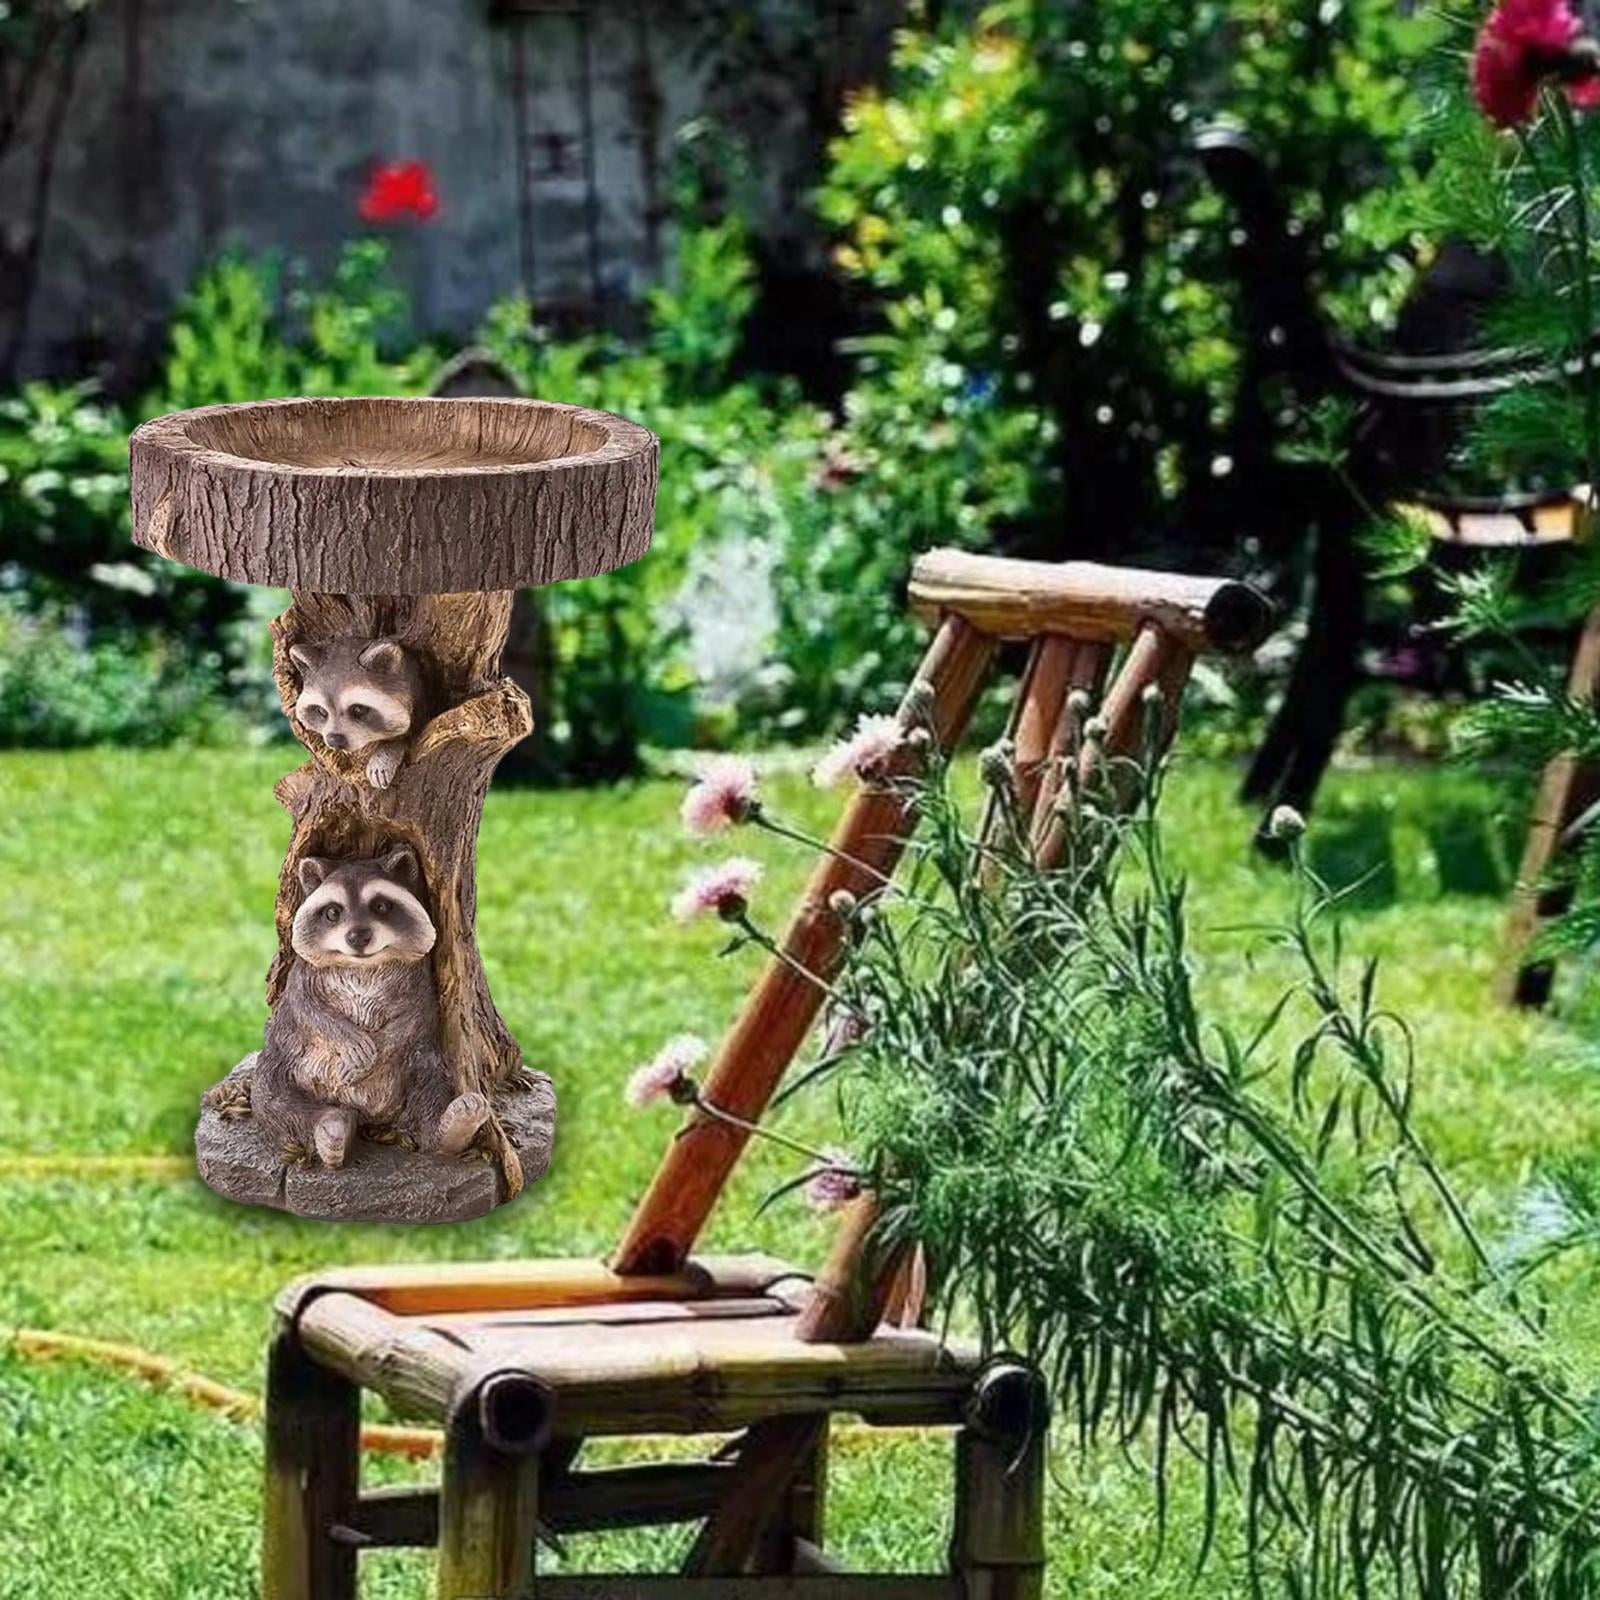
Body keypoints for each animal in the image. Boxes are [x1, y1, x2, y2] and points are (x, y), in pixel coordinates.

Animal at [252, 846, 490, 1168]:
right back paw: (331, 1126)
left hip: (420, 1063)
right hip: (284, 1061)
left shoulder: (420, 977)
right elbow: (307, 1010)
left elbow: (414, 1017)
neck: (362, 965)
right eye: (332, 912)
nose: (358, 937)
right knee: (272, 1097)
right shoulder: (302, 974)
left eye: (381, 906)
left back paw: (451, 1127)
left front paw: (379, 1048)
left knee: (430, 1087)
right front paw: (349, 1039)